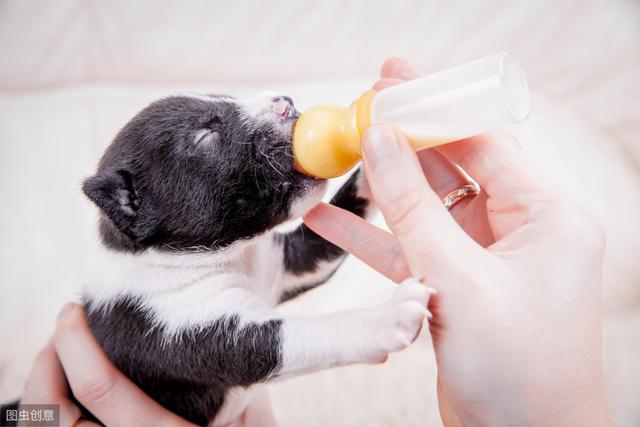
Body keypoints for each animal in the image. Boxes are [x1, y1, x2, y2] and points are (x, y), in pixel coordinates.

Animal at [79, 92, 430, 426]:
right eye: (206, 135)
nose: (285, 102)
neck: (231, 255)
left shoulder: (291, 260)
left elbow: (337, 221)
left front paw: (376, 153)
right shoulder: (193, 331)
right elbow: (307, 334)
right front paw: (389, 316)